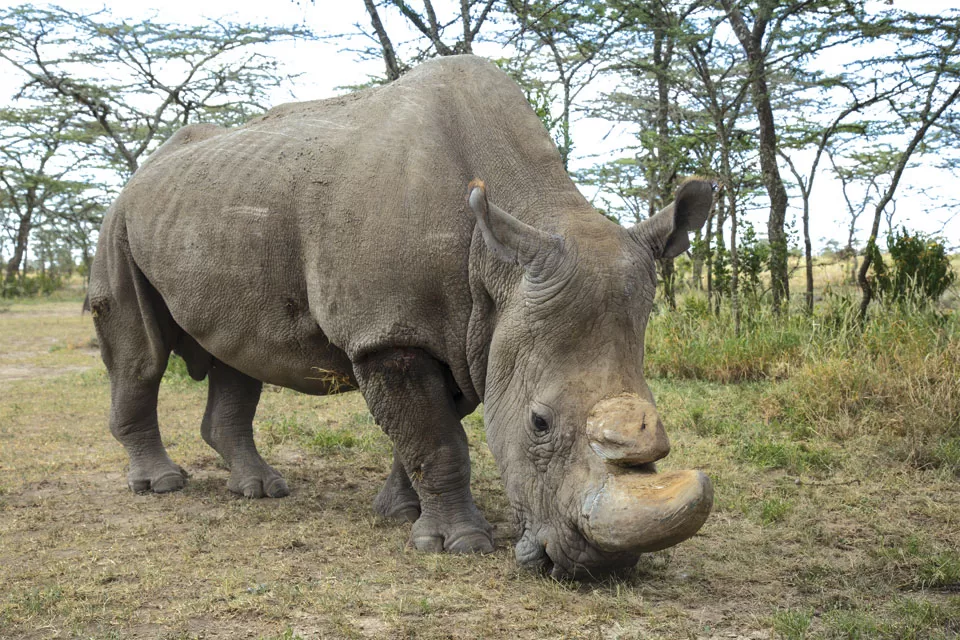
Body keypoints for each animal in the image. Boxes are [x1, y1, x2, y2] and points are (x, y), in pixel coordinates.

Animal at [89, 55, 714, 578]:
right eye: (538, 423)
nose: (598, 569)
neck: (498, 258)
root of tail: (144, 171)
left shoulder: (466, 332)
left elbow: (426, 430)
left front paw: (399, 512)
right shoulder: (391, 334)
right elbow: (437, 440)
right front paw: (459, 545)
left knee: (235, 356)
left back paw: (262, 490)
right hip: (118, 218)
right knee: (141, 356)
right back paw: (162, 486)